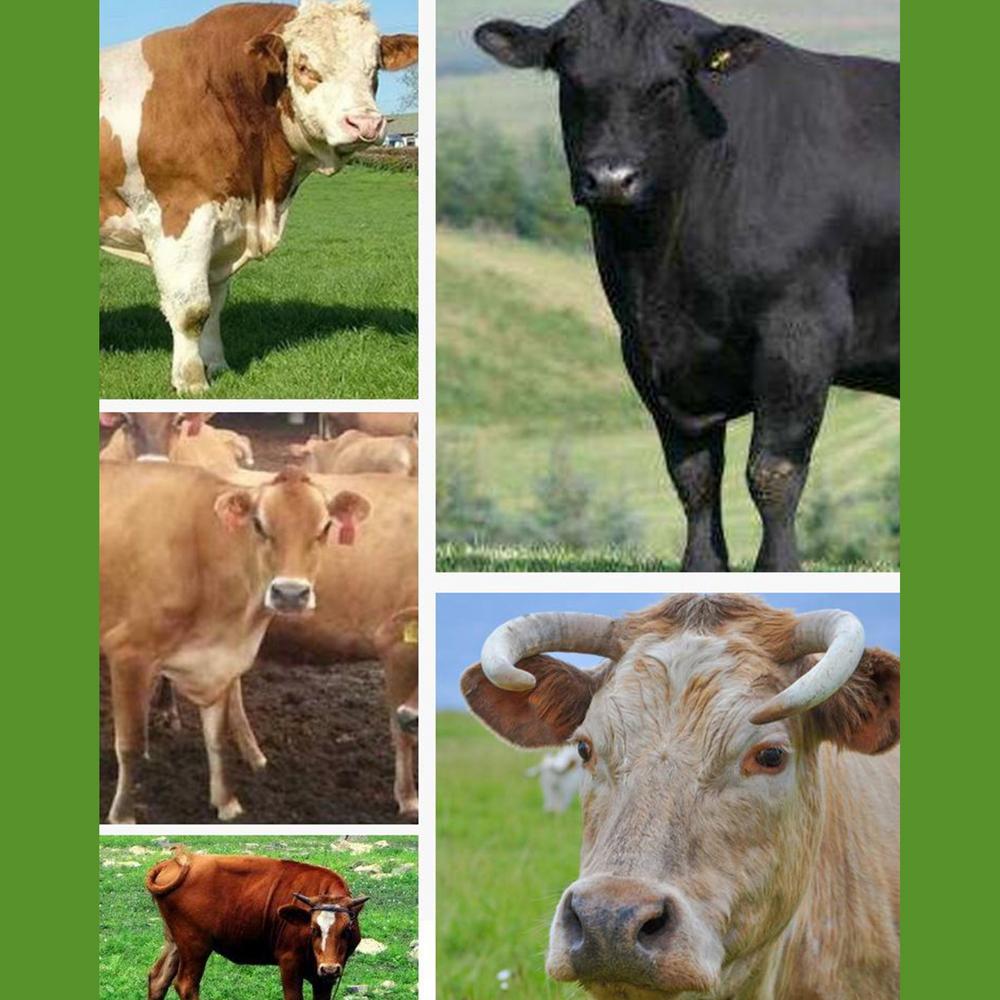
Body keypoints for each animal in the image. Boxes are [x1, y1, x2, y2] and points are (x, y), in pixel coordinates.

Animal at [100, 1, 418, 394]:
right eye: (303, 66)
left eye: (374, 67)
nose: (366, 124)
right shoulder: (179, 214)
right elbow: (191, 308)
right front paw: (191, 382)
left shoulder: (226, 225)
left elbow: (215, 304)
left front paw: (216, 365)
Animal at [102, 430, 420, 818]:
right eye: (258, 525)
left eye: (325, 528)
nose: (291, 593)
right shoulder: (397, 642)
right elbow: (404, 730)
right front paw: (408, 797)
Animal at [147, 845, 368, 1000]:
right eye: (313, 929)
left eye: (347, 929)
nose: (329, 968)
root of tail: (180, 861)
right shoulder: (289, 961)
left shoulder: (325, 977)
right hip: (195, 944)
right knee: (186, 984)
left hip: (175, 941)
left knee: (158, 979)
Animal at [474, 0, 899, 571]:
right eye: (573, 81)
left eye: (667, 85)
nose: (611, 178)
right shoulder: (644, 350)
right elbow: (693, 477)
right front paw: (701, 567)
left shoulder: (801, 332)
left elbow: (773, 473)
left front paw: (779, 568)